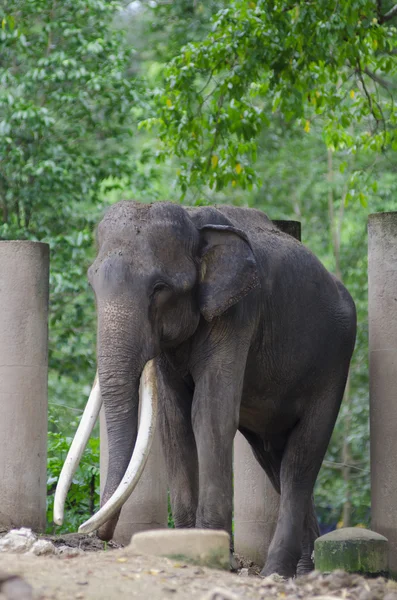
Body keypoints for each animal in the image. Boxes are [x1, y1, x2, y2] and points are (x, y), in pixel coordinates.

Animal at [53, 200, 356, 576]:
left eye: (159, 288)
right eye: (92, 283)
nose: (97, 535)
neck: (194, 218)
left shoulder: (238, 314)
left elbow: (210, 414)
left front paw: (215, 555)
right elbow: (173, 423)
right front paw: (183, 547)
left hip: (334, 364)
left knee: (301, 458)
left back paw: (276, 571)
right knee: (274, 460)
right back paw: (304, 570)